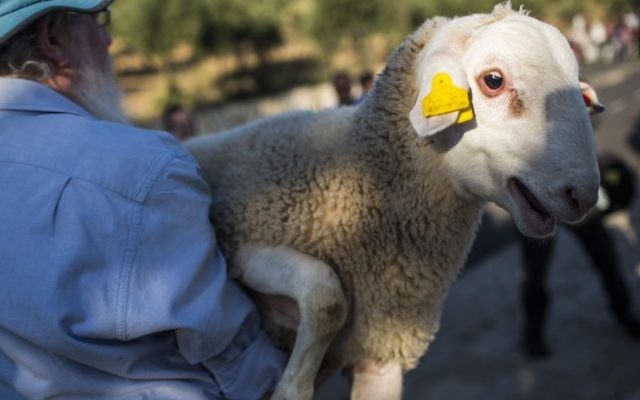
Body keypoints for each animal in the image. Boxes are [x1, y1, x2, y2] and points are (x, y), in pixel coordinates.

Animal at [185, 3, 600, 399]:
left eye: (579, 91)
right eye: (493, 81)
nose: (582, 195)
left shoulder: (381, 355)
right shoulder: (238, 251)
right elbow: (327, 296)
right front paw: (291, 389)